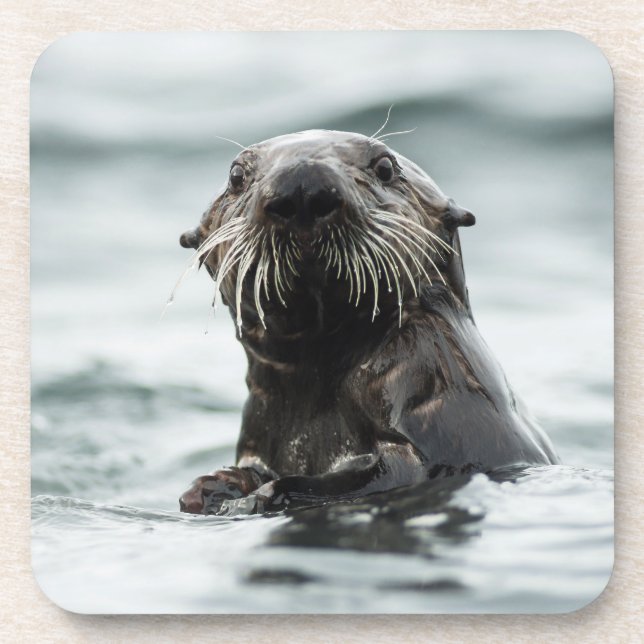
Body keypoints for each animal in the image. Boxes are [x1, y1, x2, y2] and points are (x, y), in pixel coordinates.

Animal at [176, 129, 558, 515]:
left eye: (385, 167)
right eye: (236, 175)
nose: (302, 186)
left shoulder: (432, 383)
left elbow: (390, 471)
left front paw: (257, 496)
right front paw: (213, 487)